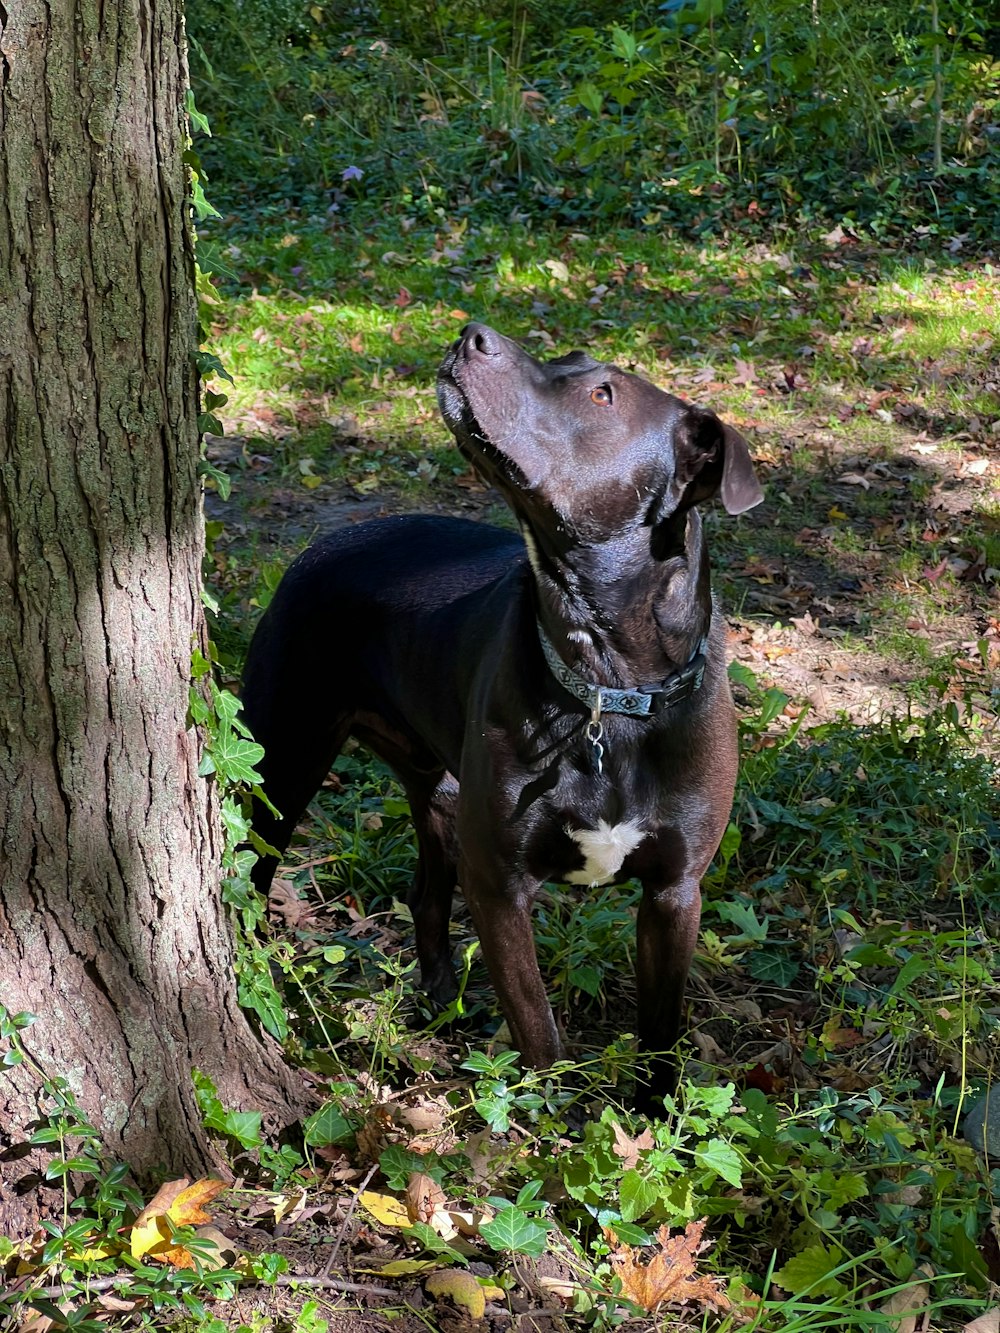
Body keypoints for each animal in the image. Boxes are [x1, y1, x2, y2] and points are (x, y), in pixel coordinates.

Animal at [241, 325, 757, 1114]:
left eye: (602, 393)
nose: (472, 334)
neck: (606, 692)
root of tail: (323, 543)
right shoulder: (500, 885)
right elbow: (539, 1033)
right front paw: (554, 1128)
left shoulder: (676, 892)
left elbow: (660, 1036)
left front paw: (651, 1121)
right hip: (281, 764)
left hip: (439, 794)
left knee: (425, 896)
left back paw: (437, 1005)